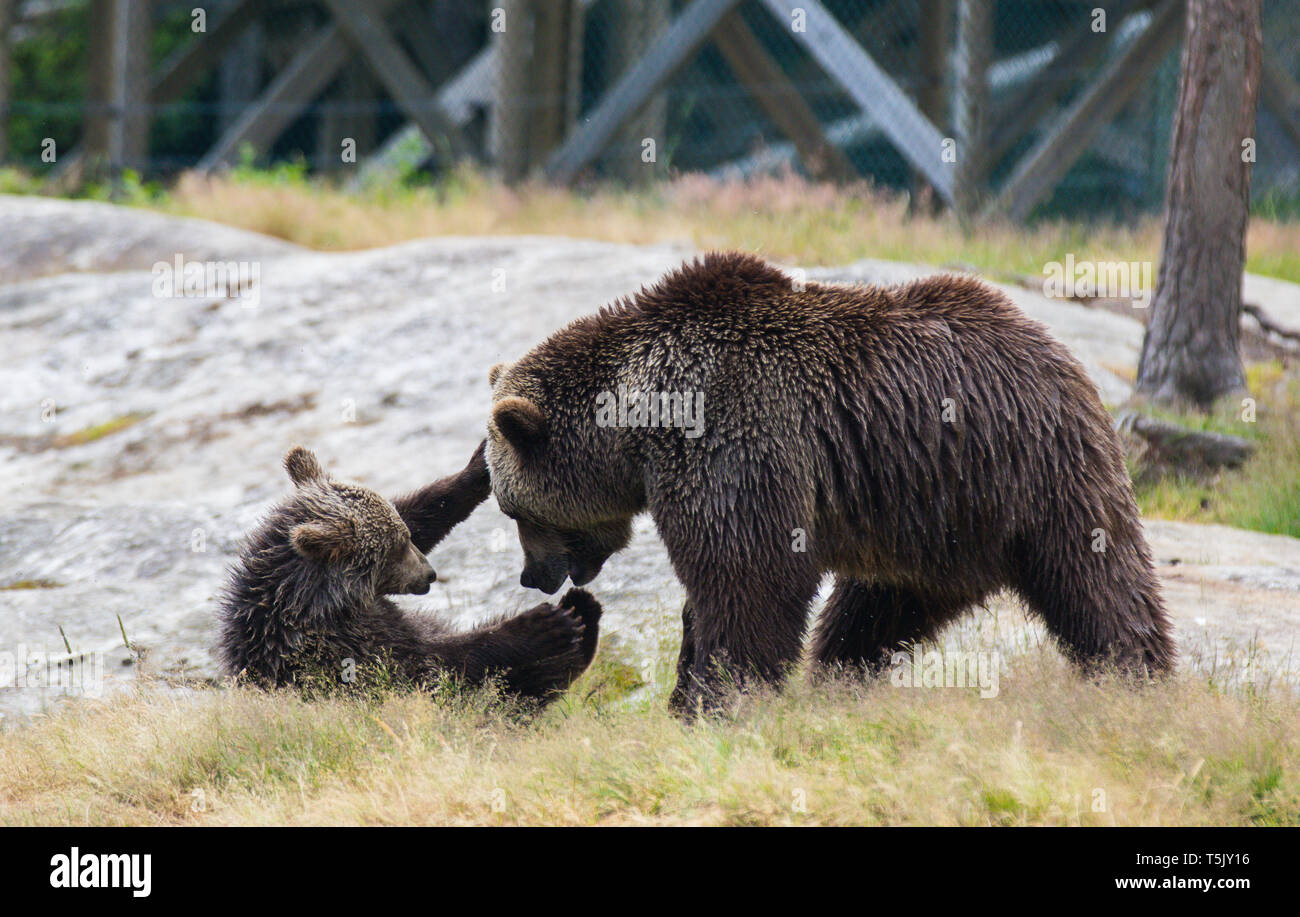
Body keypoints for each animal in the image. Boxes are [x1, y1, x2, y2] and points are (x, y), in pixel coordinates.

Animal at [217, 444, 602, 704]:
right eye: (393, 549)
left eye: (403, 537)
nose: (429, 573)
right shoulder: (337, 645)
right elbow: (429, 666)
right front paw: (540, 625)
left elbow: (423, 510)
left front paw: (478, 466)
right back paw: (577, 615)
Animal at [484, 251, 1175, 713]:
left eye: (515, 510)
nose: (531, 576)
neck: (642, 421)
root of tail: (1057, 350)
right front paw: (690, 695)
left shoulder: (735, 433)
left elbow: (749, 575)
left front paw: (717, 697)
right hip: (926, 519)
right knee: (873, 610)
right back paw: (835, 681)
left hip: (1031, 472)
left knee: (1098, 579)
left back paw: (1139, 680)